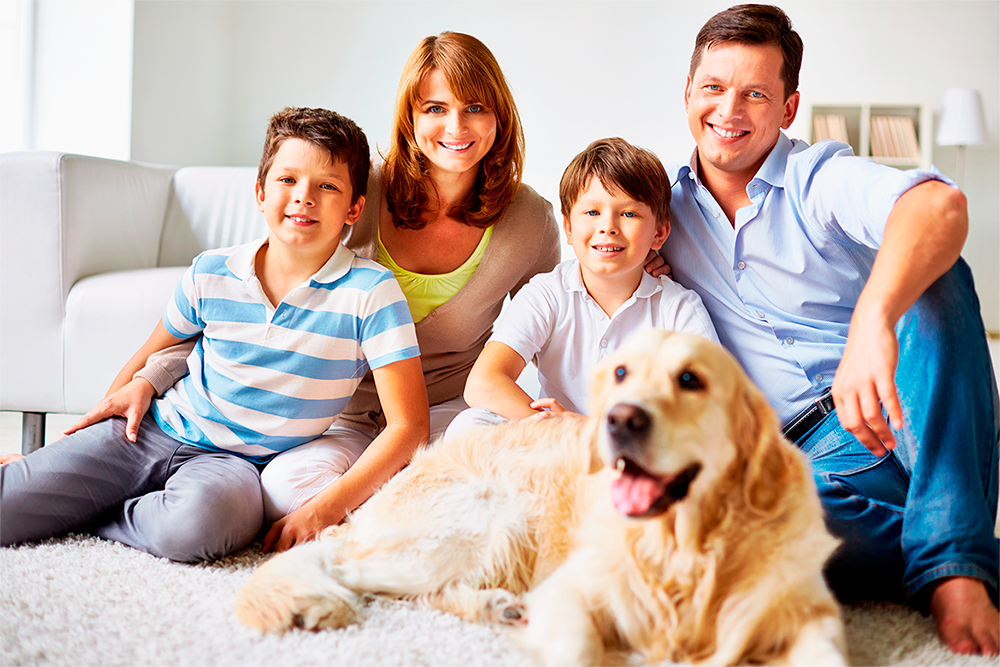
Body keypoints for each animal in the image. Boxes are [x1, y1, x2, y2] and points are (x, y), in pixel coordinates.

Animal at [234, 332, 844, 664]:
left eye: (691, 380)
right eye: (620, 374)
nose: (620, 420)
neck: (686, 549)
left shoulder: (808, 612)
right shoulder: (574, 590)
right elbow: (577, 647)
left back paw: (497, 607)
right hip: (480, 523)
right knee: (341, 566)